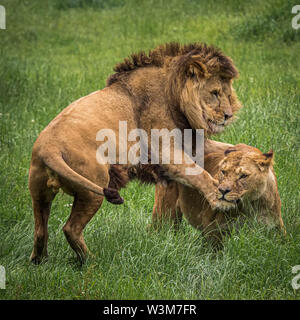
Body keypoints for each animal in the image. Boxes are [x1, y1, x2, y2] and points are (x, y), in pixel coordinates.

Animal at [28, 42, 241, 262]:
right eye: (215, 93)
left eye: (228, 94)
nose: (228, 115)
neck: (173, 93)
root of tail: (49, 148)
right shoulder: (165, 150)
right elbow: (199, 174)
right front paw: (219, 197)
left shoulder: (190, 143)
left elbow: (229, 147)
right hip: (92, 189)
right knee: (70, 229)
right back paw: (92, 261)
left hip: (40, 191)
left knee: (41, 230)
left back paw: (40, 262)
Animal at [152, 143, 286, 242]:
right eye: (223, 172)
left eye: (243, 176)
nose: (222, 190)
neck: (250, 206)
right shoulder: (214, 228)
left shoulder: (276, 227)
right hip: (166, 213)